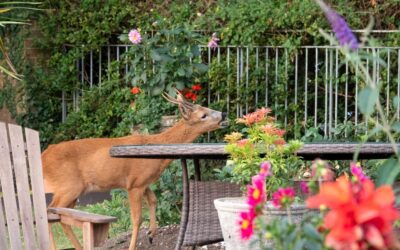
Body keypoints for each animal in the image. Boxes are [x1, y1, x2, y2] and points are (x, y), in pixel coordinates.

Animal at [41, 92, 228, 250]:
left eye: (206, 108)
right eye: (203, 115)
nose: (224, 114)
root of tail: (43, 157)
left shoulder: (144, 182)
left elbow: (153, 200)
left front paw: (152, 233)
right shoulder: (134, 184)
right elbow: (137, 219)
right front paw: (135, 244)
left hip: (74, 191)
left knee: (63, 216)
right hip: (68, 186)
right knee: (50, 211)